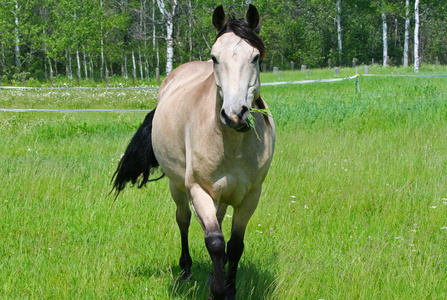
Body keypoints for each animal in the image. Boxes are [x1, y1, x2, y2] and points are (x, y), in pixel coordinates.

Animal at [111, 4, 276, 300]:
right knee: (184, 220)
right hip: (177, 186)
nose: (234, 114)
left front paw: (229, 288)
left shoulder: (250, 196)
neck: (231, 145)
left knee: (218, 221)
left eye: (255, 57)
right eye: (214, 57)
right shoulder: (198, 189)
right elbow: (214, 241)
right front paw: (218, 291)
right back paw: (186, 269)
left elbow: (235, 245)